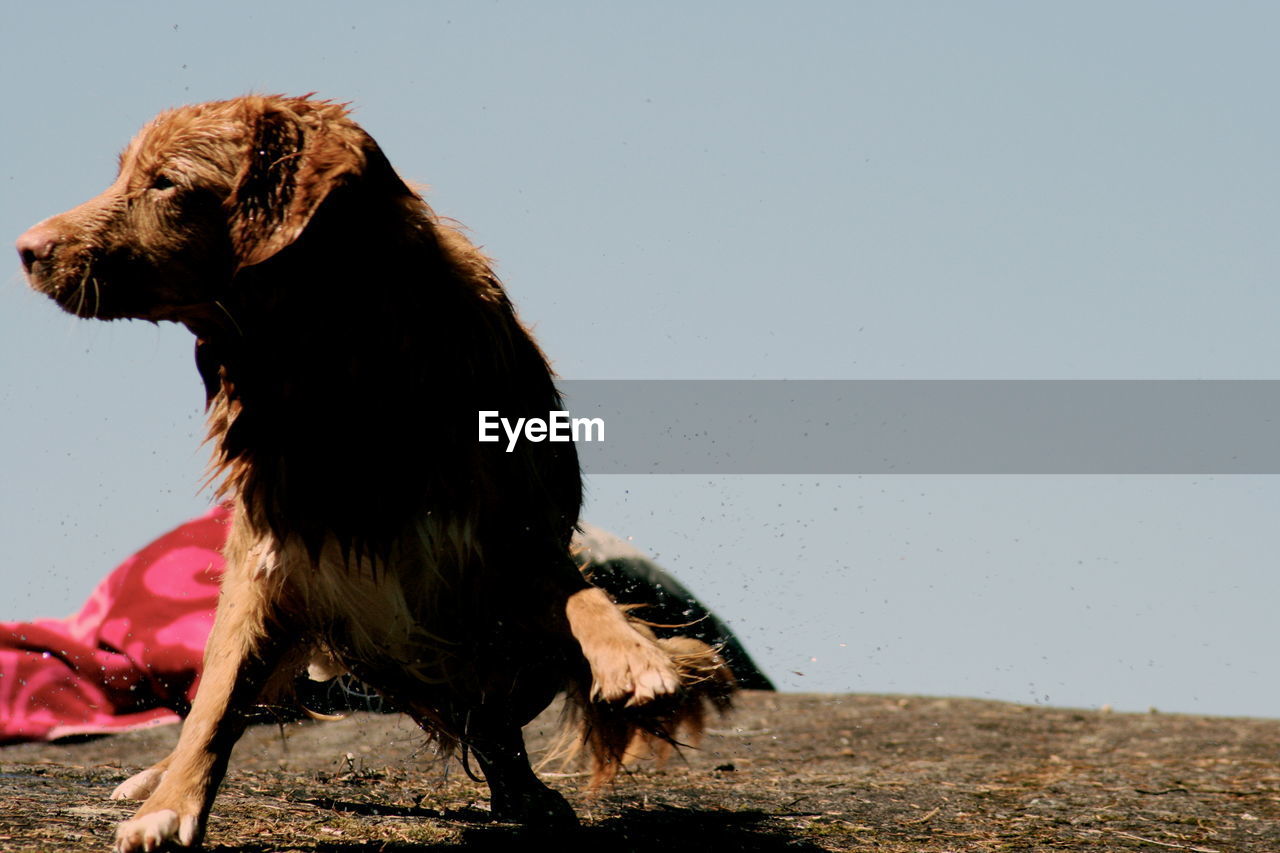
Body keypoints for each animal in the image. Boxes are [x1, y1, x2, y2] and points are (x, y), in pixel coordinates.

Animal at [17, 96, 721, 845]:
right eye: (123, 175)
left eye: (166, 183)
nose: (27, 248)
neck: (338, 366)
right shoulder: (274, 548)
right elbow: (217, 702)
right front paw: (170, 804)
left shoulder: (504, 531)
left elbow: (579, 597)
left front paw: (633, 657)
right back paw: (154, 775)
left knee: (494, 716)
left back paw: (525, 789)